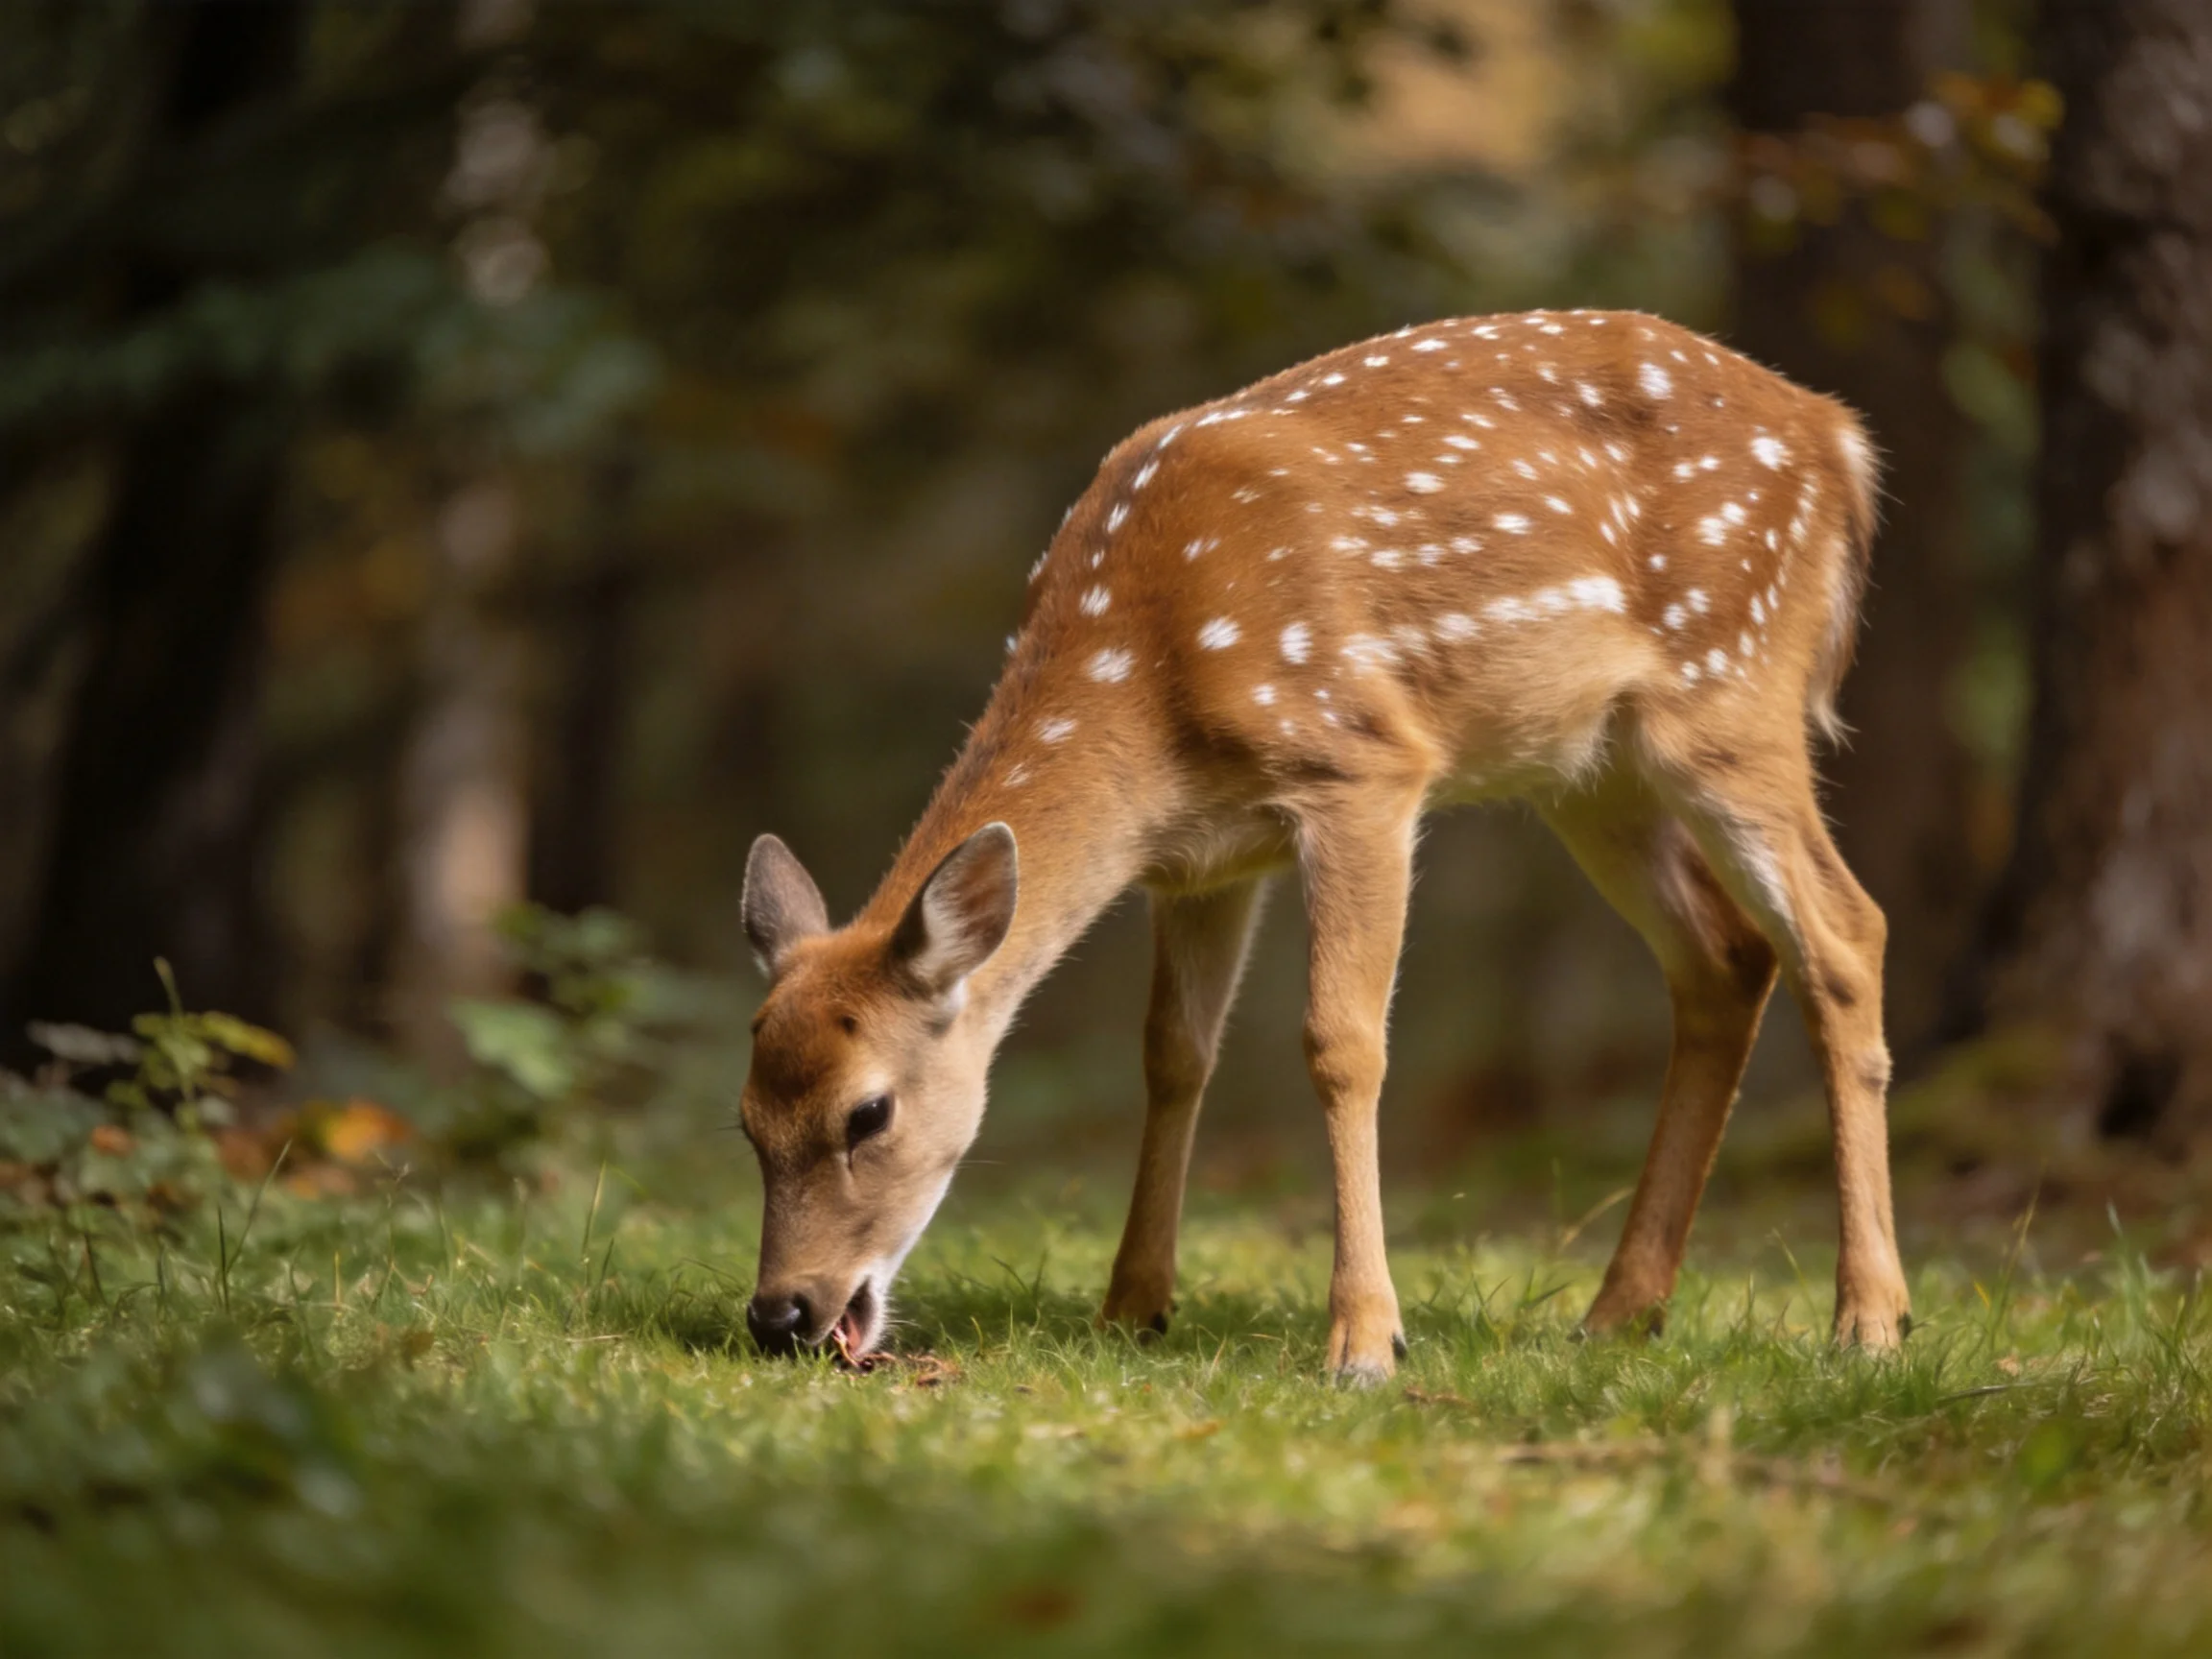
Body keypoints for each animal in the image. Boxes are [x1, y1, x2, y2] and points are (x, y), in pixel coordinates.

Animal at [736, 308, 1910, 1383]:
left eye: (868, 1113)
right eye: (745, 1122)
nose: (782, 1314)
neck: (1148, 676)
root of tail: (1841, 436)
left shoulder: (1361, 765)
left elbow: (1341, 1042)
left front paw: (1364, 1341)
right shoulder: (1198, 861)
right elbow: (1174, 1052)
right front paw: (1132, 1307)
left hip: (1731, 691)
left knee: (1844, 933)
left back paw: (1869, 1321)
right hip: (1590, 769)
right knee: (1728, 958)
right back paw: (1620, 1313)